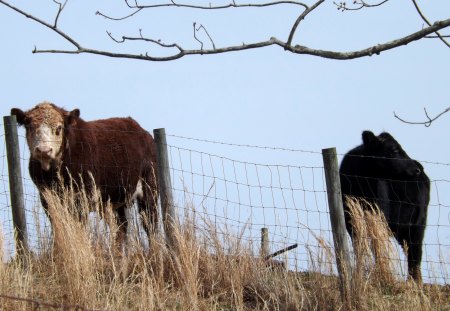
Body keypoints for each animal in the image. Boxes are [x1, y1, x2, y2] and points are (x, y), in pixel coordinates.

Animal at [10, 102, 159, 249]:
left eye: (59, 128)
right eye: (30, 126)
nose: (44, 150)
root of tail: (142, 131)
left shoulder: (82, 198)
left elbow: (79, 228)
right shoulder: (47, 199)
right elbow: (58, 228)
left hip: (149, 189)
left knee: (150, 224)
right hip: (115, 199)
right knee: (121, 226)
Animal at [342, 130, 428, 282]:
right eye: (394, 150)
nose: (416, 169)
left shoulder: (378, 218)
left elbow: (376, 248)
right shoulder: (351, 222)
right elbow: (359, 248)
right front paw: (359, 274)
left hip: (417, 225)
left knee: (415, 253)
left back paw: (414, 281)